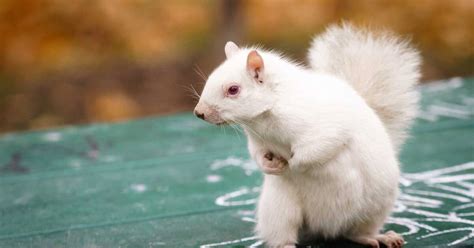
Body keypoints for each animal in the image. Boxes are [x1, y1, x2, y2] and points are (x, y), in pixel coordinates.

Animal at [194, 23, 420, 248]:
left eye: (233, 89)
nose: (199, 112)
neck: (265, 116)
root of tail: (325, 227)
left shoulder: (326, 128)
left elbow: (317, 149)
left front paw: (292, 165)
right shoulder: (258, 140)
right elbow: (257, 154)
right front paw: (270, 166)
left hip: (376, 206)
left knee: (357, 233)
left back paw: (378, 237)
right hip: (279, 211)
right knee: (284, 233)